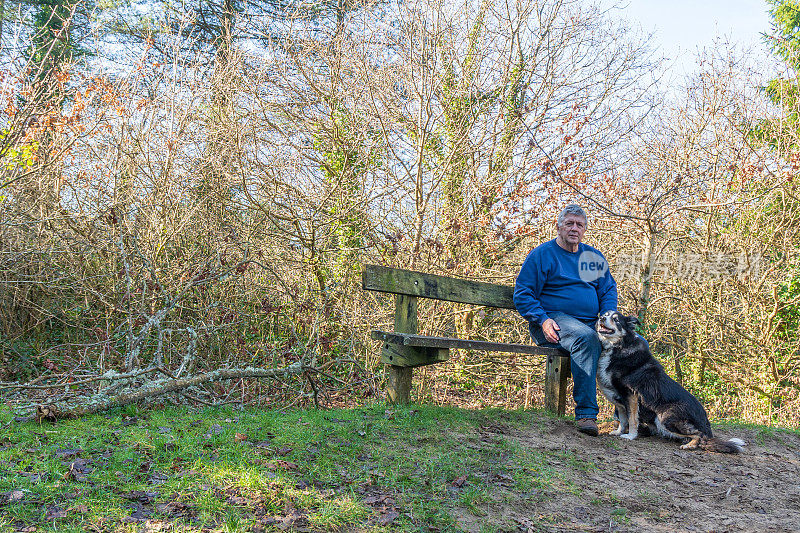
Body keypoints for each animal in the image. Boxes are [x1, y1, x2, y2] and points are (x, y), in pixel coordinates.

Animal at [592, 312, 744, 454]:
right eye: (605, 315)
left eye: (616, 319)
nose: (601, 318)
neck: (619, 347)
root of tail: (706, 423)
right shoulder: (620, 400)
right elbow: (623, 419)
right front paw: (618, 432)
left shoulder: (631, 395)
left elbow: (632, 419)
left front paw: (630, 436)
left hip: (664, 418)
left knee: (699, 435)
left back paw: (689, 445)